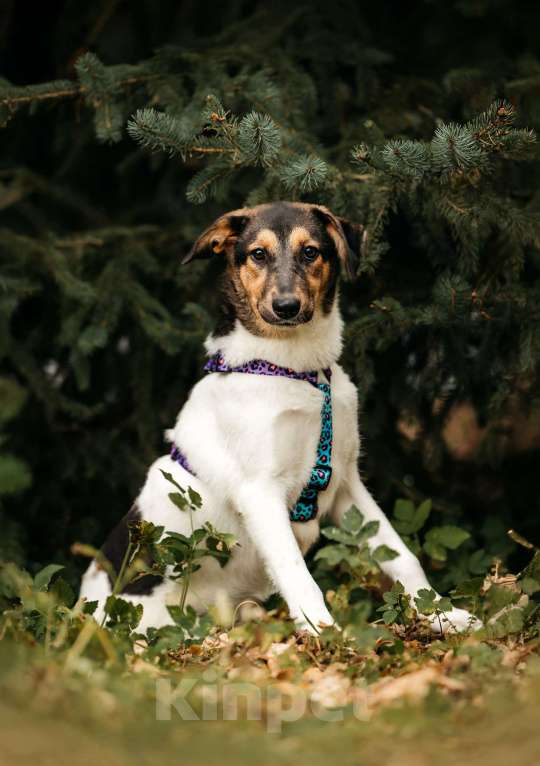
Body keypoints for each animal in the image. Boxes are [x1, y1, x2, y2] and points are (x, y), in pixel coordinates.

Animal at [79, 200, 476, 636]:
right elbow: (297, 572)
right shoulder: (260, 491)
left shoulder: (346, 482)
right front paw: (324, 632)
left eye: (310, 252)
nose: (286, 308)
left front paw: (442, 615)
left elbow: (401, 555)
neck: (295, 370)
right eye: (258, 254)